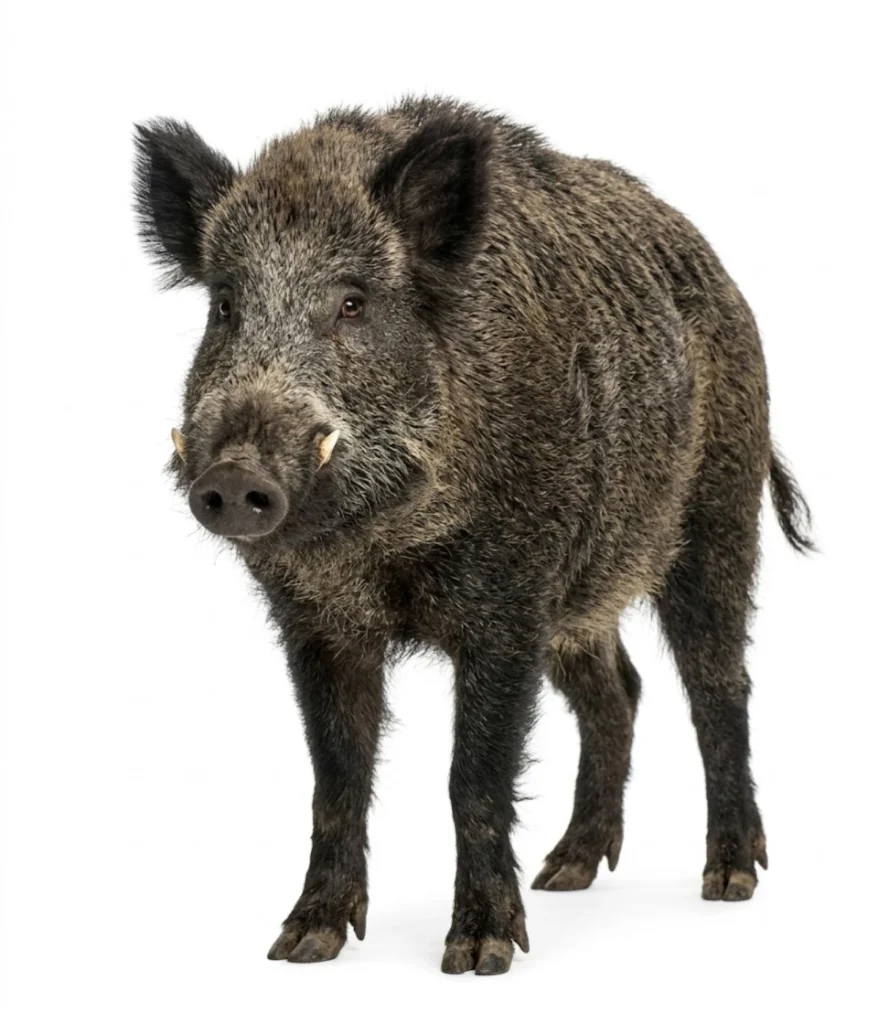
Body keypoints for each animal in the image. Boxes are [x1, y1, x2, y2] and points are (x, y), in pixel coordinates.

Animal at [133, 96, 812, 975]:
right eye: (224, 305)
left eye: (353, 302)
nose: (234, 477)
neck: (379, 544)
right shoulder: (316, 623)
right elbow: (335, 777)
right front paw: (302, 945)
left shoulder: (507, 598)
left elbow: (474, 777)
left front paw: (480, 954)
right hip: (580, 595)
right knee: (619, 689)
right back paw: (568, 872)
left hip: (717, 516)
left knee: (718, 686)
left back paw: (728, 880)